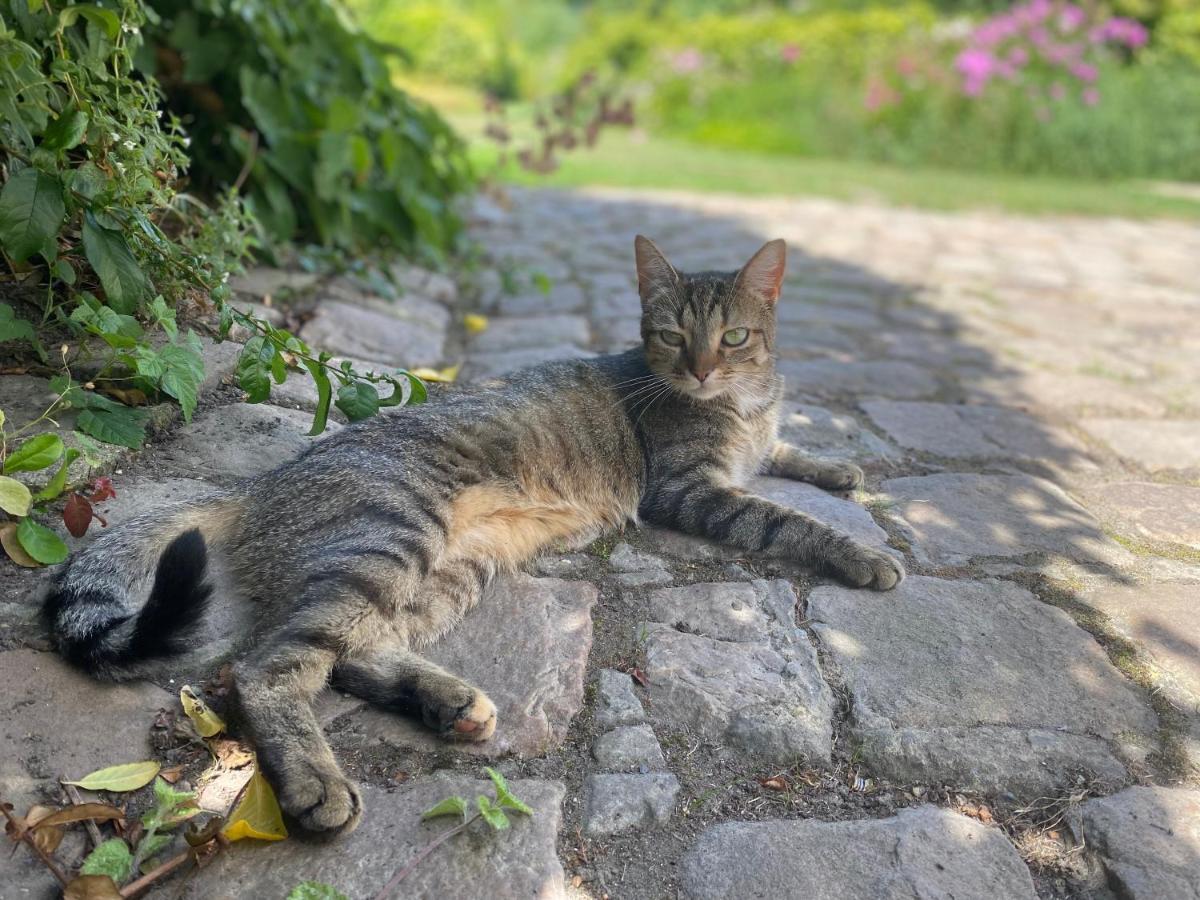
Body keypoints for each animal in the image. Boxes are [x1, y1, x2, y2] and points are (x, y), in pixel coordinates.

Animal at [42, 234, 902, 840]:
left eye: (734, 338)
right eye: (668, 335)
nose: (699, 371)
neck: (742, 404)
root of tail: (259, 485)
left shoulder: (752, 450)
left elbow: (787, 457)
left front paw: (838, 466)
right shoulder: (689, 490)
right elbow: (786, 517)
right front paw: (863, 553)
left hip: (450, 573)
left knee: (355, 652)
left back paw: (448, 701)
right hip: (393, 540)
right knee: (269, 668)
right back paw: (318, 783)